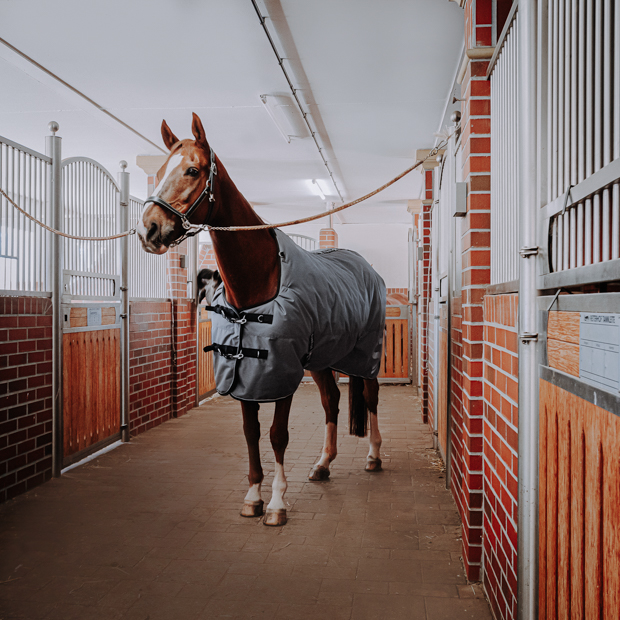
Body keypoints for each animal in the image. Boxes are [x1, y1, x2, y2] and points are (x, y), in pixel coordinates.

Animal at [138, 112, 386, 528]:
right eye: (157, 171)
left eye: (193, 169)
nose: (149, 229)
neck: (256, 282)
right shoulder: (245, 375)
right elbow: (250, 432)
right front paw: (253, 496)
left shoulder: (281, 371)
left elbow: (276, 435)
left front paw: (276, 504)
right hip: (320, 360)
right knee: (331, 401)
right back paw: (323, 464)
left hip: (365, 355)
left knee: (369, 396)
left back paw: (374, 456)